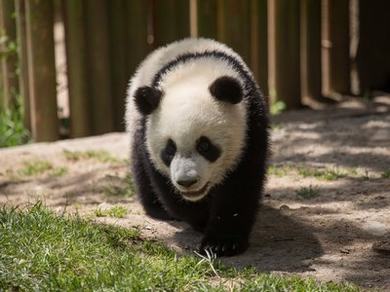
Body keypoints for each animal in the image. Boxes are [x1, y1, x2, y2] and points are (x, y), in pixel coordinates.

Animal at [126, 37, 270, 256]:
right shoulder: (147, 136)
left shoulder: (250, 127)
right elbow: (167, 188)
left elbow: (240, 186)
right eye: (169, 149)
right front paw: (201, 218)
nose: (187, 182)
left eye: (205, 146)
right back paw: (158, 209)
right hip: (136, 119)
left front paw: (222, 243)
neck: (194, 75)